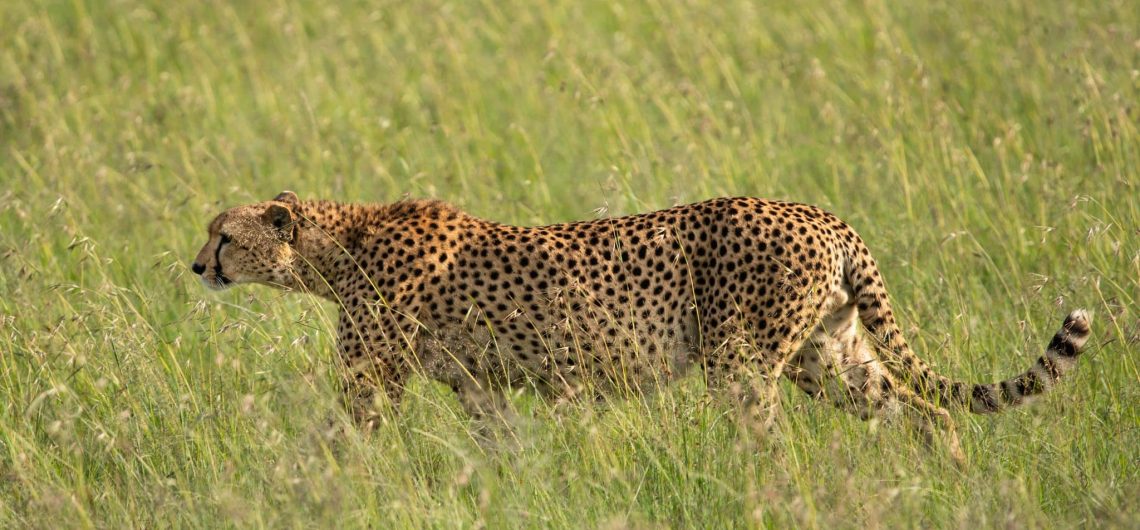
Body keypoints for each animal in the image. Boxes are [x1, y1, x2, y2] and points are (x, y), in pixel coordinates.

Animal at [192, 191, 1092, 463]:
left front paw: (309, 487)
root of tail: (820, 214)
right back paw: (952, 481)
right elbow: (500, 447)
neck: (334, 244)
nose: (197, 265)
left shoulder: (371, 378)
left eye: (223, 234)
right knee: (929, 414)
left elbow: (339, 442)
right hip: (829, 356)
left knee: (768, 443)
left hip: (742, 362)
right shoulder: (480, 387)